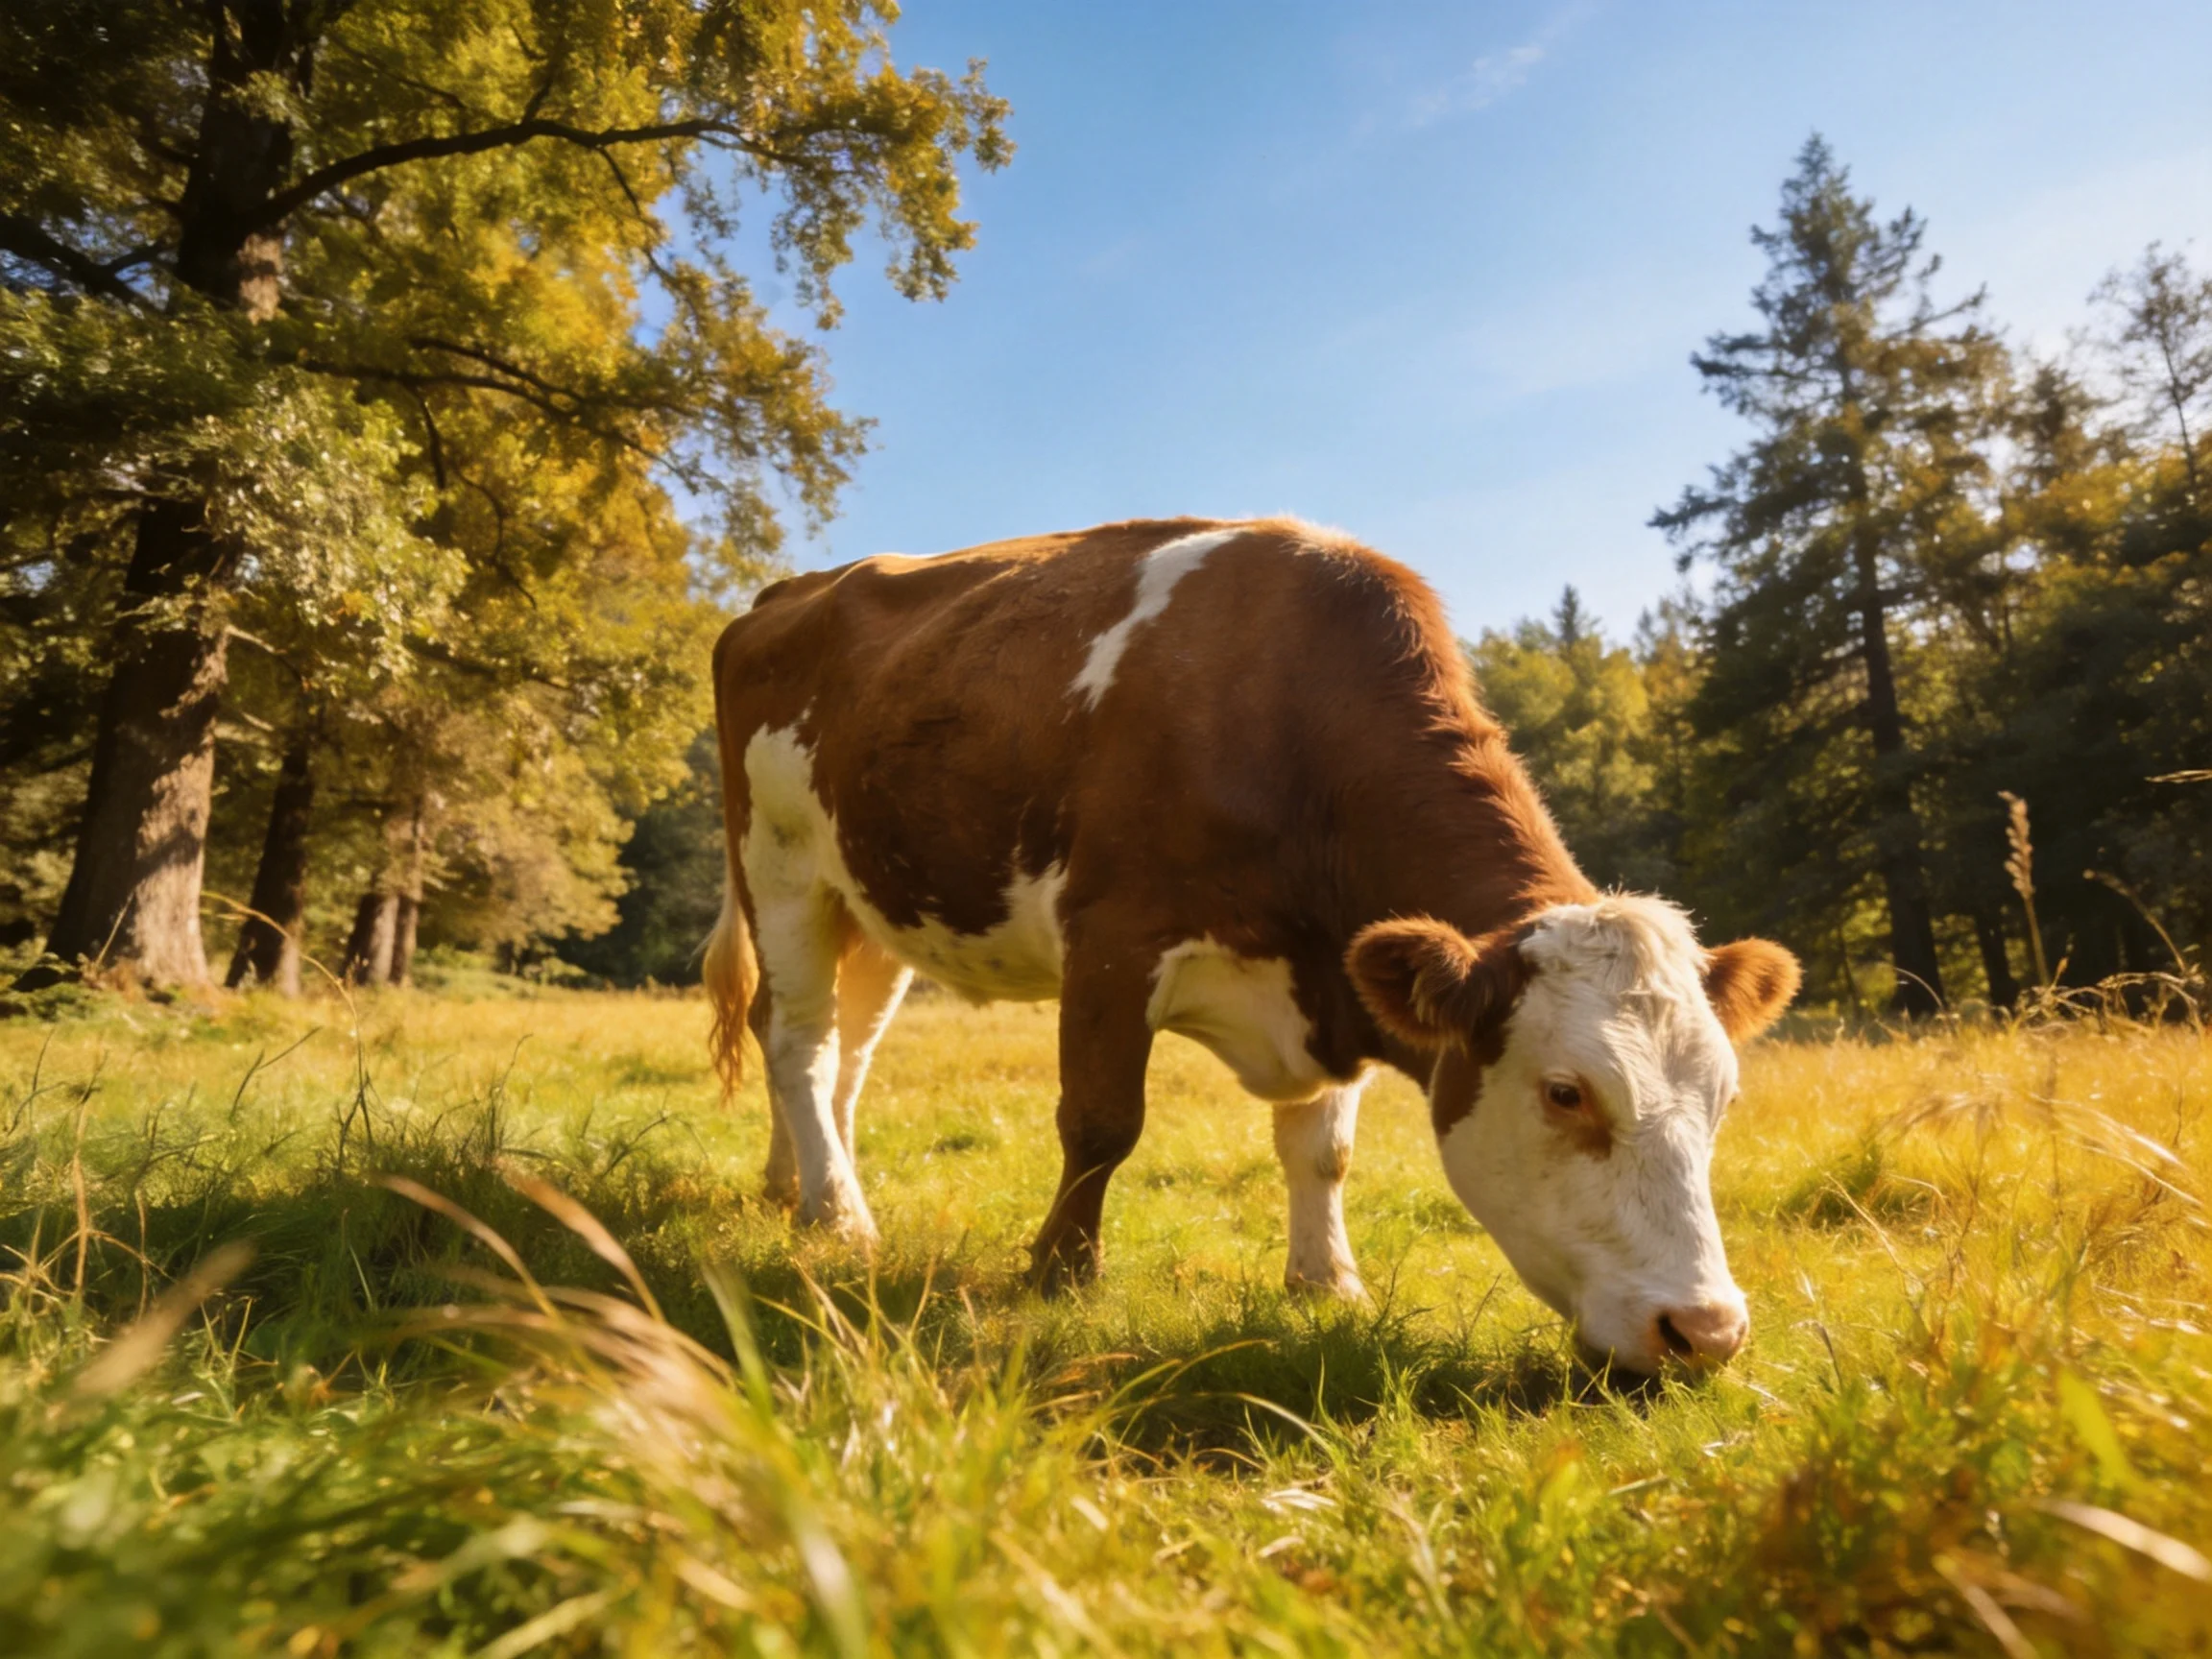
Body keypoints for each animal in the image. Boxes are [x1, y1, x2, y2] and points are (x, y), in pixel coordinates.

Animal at [704, 517, 1800, 1374]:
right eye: (1566, 1093)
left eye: (1724, 1098)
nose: (1705, 1333)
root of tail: (789, 590)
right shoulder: (1113, 940)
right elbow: (1100, 1122)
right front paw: (1060, 1274)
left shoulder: (1341, 977)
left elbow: (1324, 1149)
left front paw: (1327, 1281)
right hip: (780, 865)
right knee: (797, 1038)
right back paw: (839, 1216)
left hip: (872, 901)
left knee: (843, 1053)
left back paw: (802, 1190)